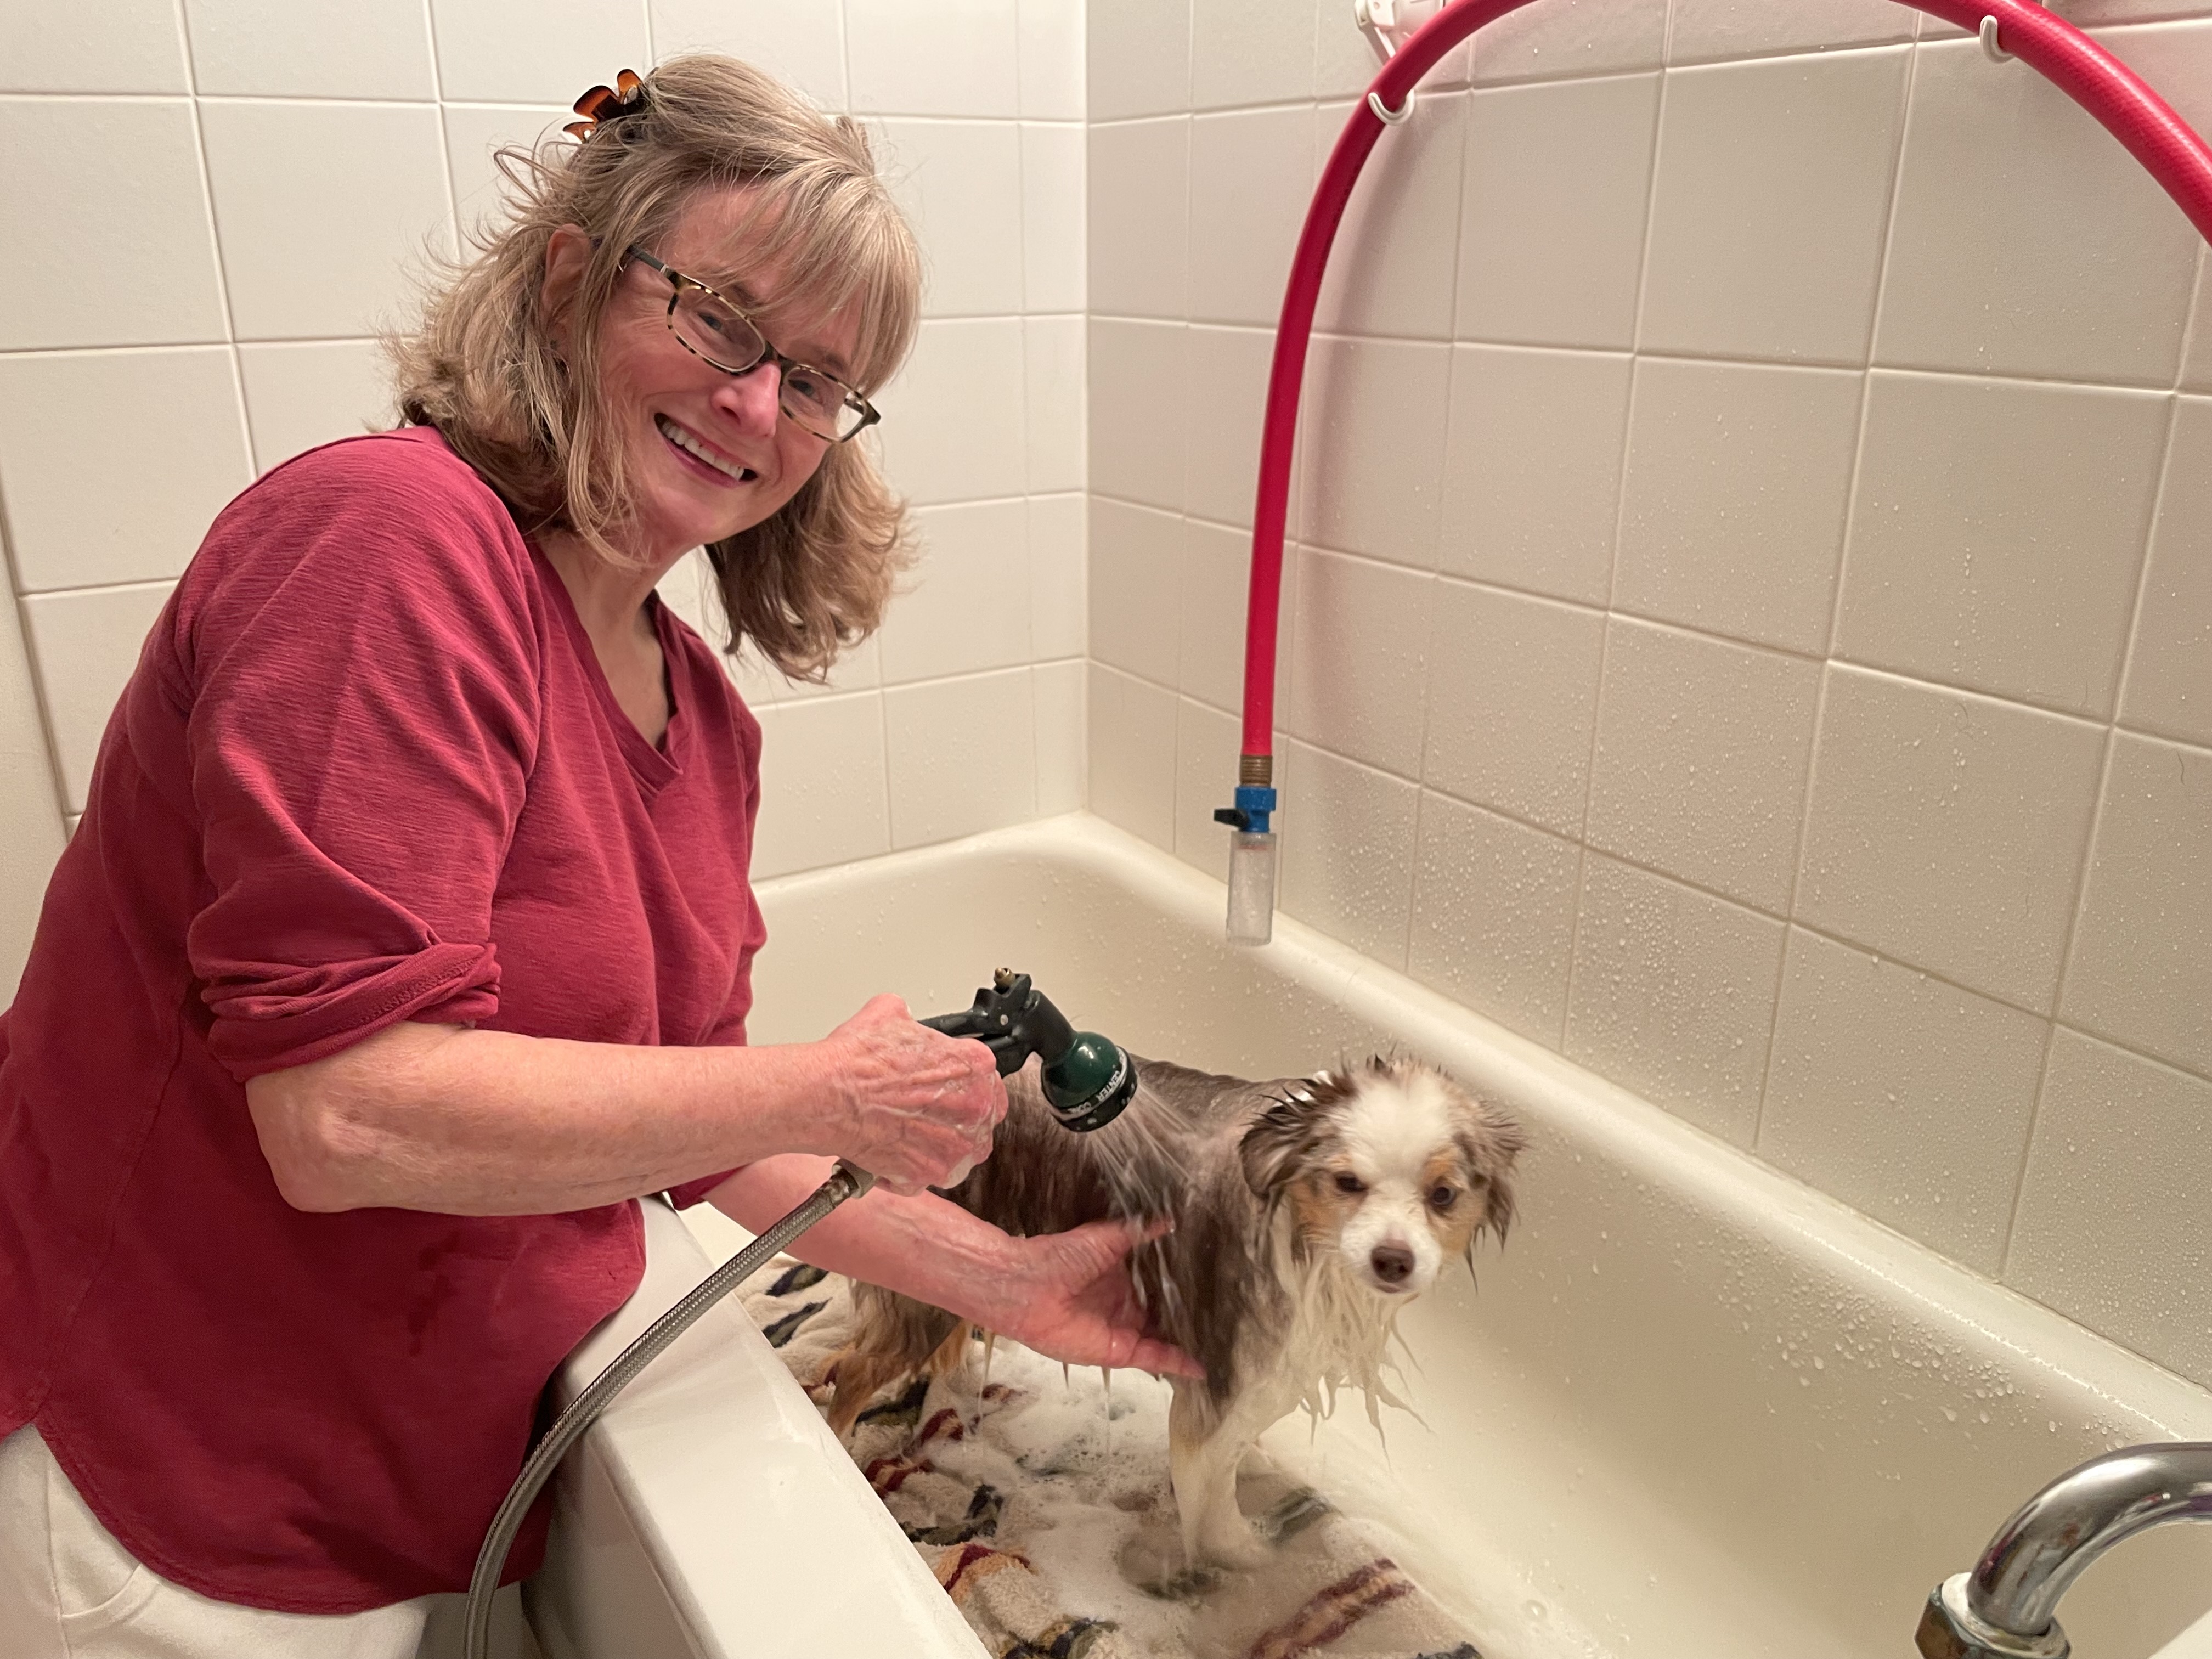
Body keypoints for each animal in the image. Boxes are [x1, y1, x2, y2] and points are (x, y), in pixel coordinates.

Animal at [828, 1052, 1524, 1569]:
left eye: (1443, 1195)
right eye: (1347, 1183)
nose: (1392, 1260)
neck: (1302, 1239)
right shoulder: (1216, 1390)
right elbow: (1213, 1506)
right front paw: (1246, 1558)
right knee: (854, 1370)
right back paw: (841, 1443)